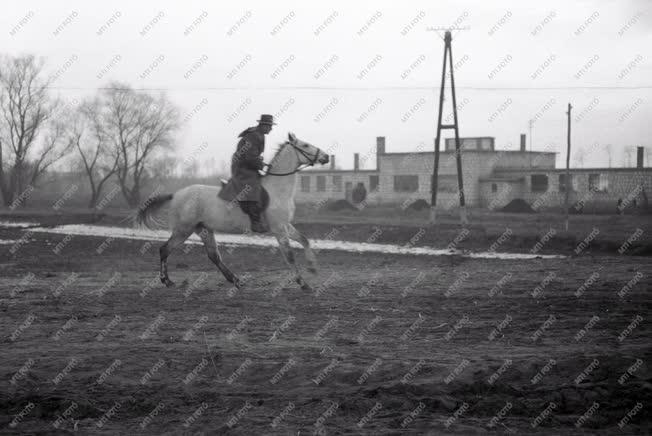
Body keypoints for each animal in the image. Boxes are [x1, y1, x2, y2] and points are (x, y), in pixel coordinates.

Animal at [138, 131, 332, 292]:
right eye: (305, 145)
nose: (326, 156)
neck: (278, 190)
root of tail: (176, 194)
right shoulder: (279, 229)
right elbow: (290, 256)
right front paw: (303, 283)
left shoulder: (285, 226)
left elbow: (305, 240)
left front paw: (313, 268)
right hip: (183, 229)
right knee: (164, 250)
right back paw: (167, 281)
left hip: (203, 229)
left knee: (214, 256)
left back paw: (236, 280)